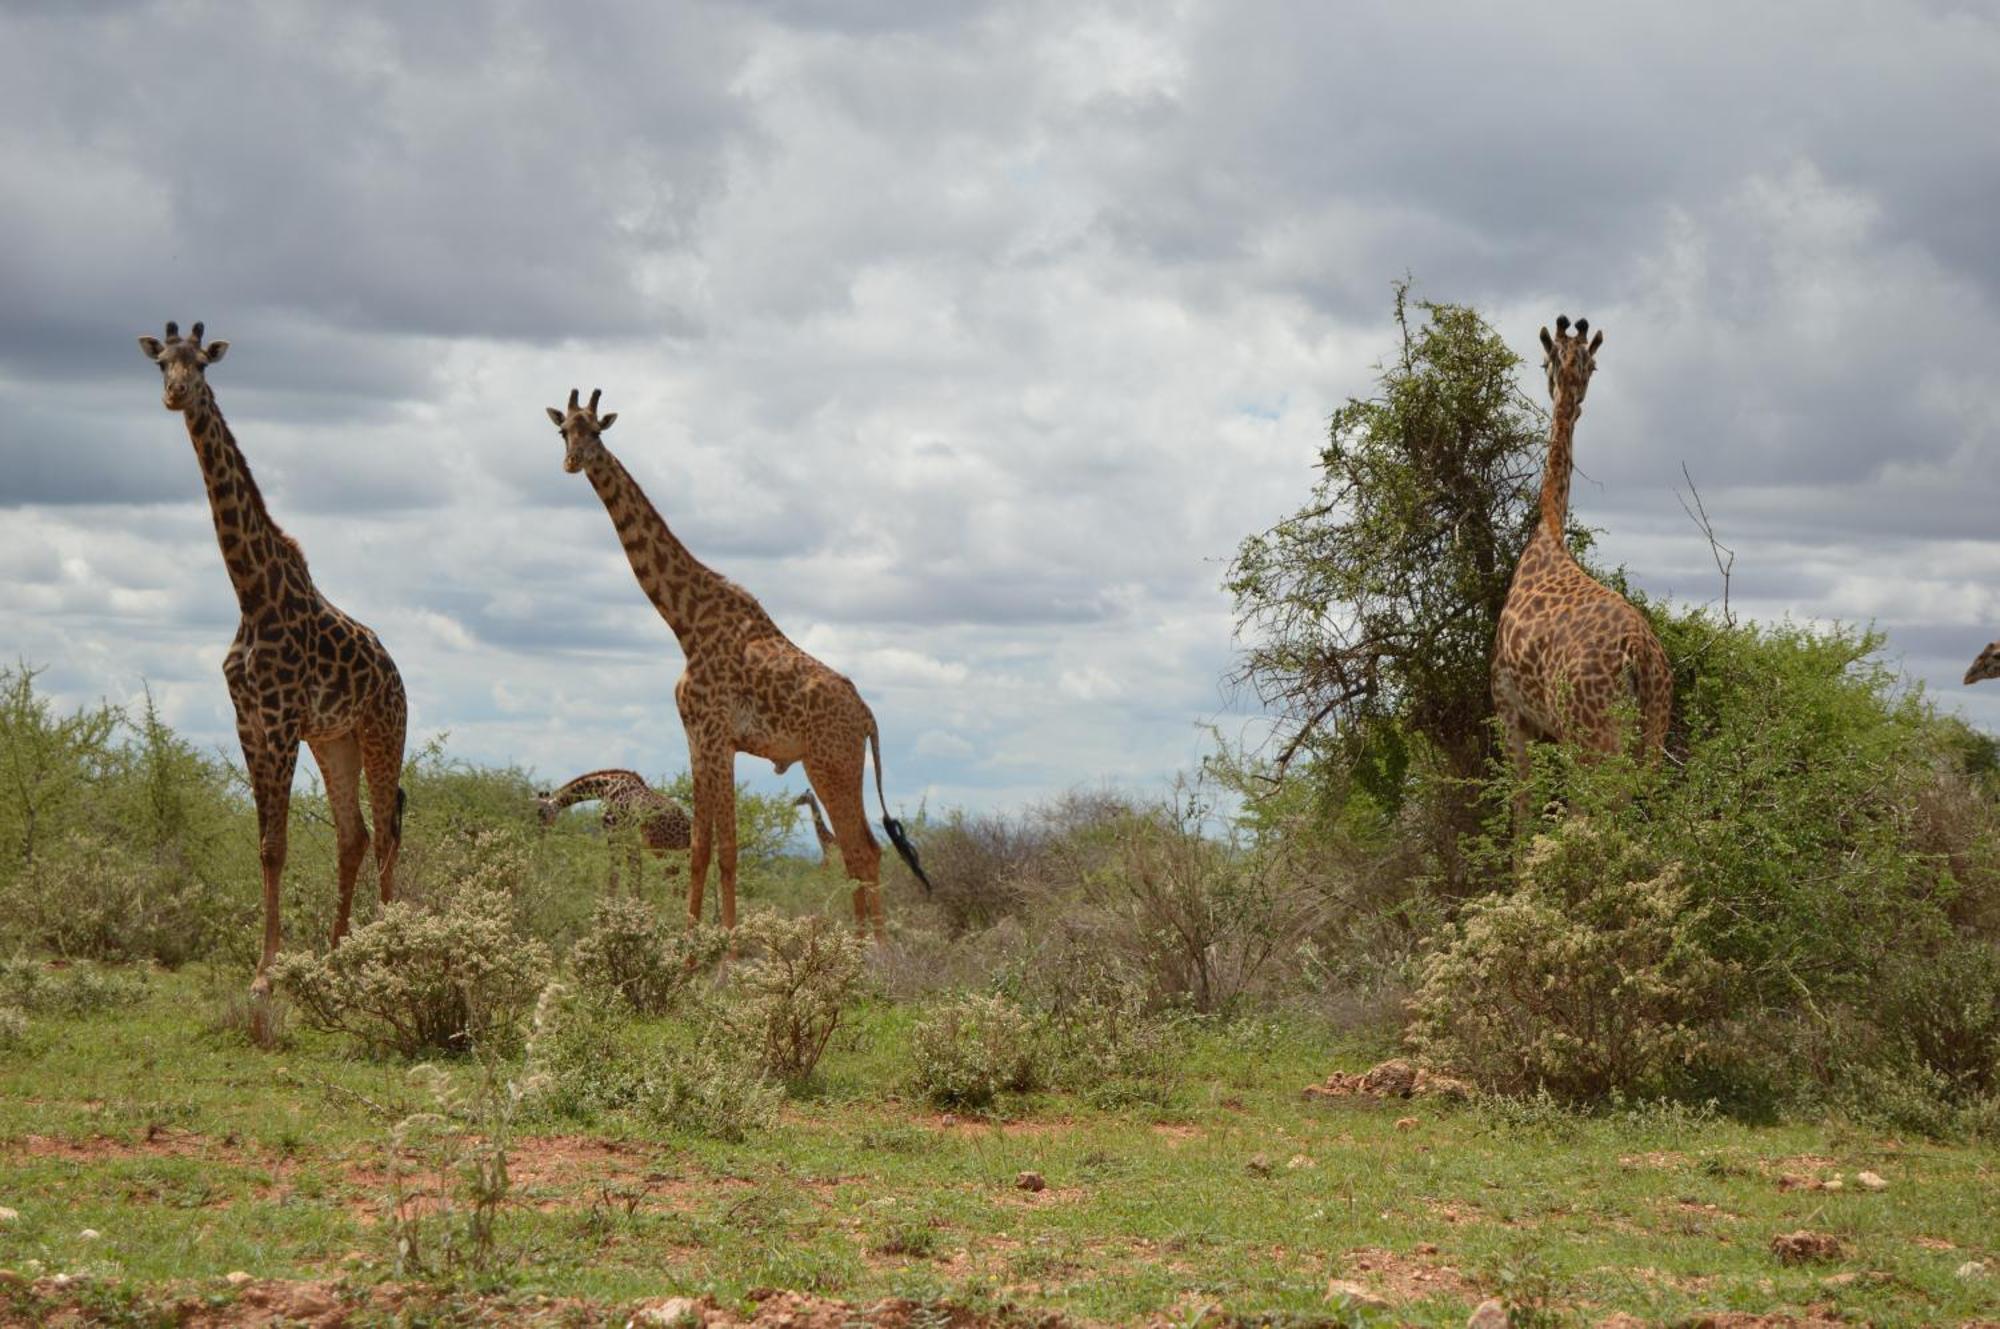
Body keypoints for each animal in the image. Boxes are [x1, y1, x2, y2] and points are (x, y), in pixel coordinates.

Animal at [136, 322, 406, 1008]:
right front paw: (269, 968)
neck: (251, 591)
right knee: (355, 835)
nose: (176, 395)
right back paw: (339, 954)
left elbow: (279, 847)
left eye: (202, 365)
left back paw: (391, 945)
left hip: (380, 731)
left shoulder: (281, 722)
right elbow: (265, 847)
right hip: (334, 739)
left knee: (387, 831)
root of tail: (397, 677)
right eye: (162, 364)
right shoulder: (250, 722)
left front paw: (268, 973)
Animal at [536, 768, 692, 892]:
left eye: (541, 813)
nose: (540, 834)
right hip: (663, 852)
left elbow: (617, 873)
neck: (606, 788)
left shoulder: (614, 833)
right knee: (677, 880)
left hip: (669, 851)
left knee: (679, 881)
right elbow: (632, 874)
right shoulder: (628, 840)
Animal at [1488, 320, 1672, 820]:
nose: (1569, 392)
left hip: (1593, 738)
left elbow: (1522, 810)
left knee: (1597, 816)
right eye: (1589, 365)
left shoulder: (1509, 711)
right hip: (1652, 734)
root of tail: (1640, 655)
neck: (1548, 529)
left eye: (1542, 363)